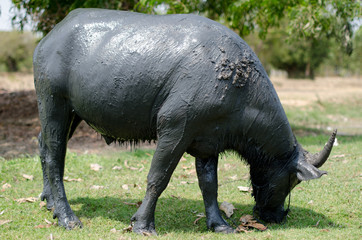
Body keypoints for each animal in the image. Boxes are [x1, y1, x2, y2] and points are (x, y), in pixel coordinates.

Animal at [34, 8, 336, 234]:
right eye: (293, 181)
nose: (277, 216)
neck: (238, 84)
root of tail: (50, 37)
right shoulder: (174, 129)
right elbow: (158, 177)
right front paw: (142, 224)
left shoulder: (208, 142)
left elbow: (210, 185)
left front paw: (219, 224)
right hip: (53, 102)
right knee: (54, 155)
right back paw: (67, 217)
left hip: (73, 113)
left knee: (44, 145)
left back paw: (49, 202)